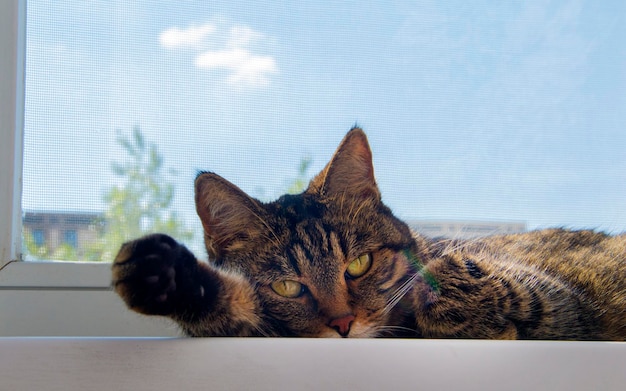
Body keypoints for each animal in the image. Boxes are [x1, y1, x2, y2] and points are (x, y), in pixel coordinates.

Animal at [112, 128, 624, 340]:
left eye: (358, 264)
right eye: (287, 287)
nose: (343, 324)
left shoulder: (565, 302)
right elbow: (235, 306)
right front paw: (166, 275)